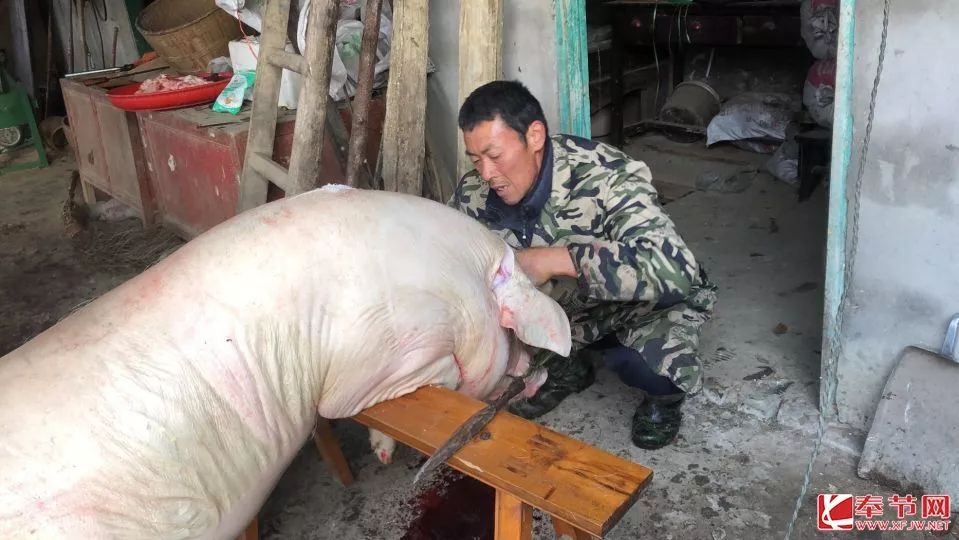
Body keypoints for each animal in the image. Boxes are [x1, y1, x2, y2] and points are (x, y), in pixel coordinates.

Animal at [0, 186, 568, 540]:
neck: (461, 279)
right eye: (513, 333)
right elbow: (409, 388)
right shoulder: (379, 356)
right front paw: (385, 456)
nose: (540, 374)